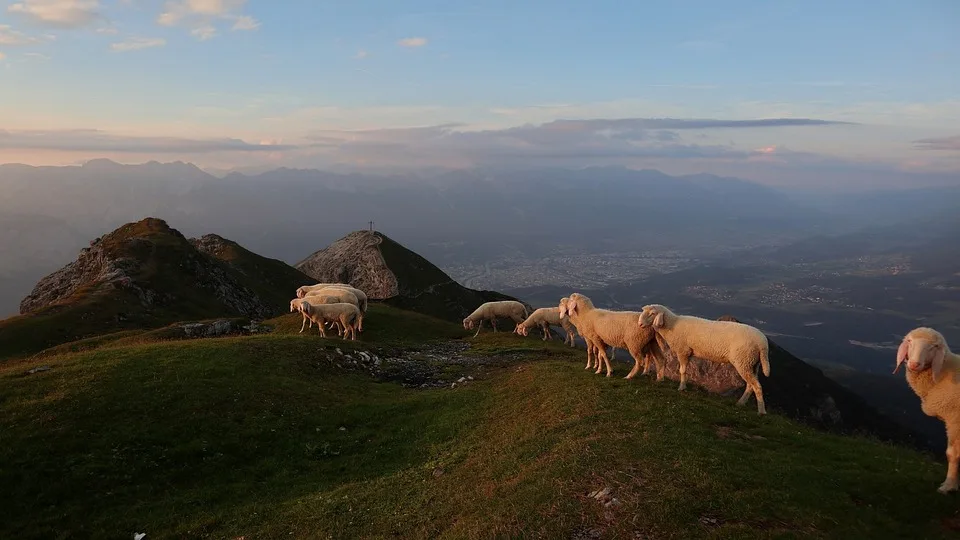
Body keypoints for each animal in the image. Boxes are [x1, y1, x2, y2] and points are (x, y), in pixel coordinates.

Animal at [636, 304, 772, 414]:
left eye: (652, 313)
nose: (640, 324)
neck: (672, 324)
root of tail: (763, 344)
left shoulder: (682, 350)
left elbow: (682, 370)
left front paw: (681, 388)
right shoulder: (688, 352)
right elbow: (685, 370)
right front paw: (683, 386)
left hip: (743, 361)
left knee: (757, 386)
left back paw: (761, 411)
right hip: (752, 363)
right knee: (750, 385)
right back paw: (740, 403)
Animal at [892, 324, 960, 494]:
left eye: (933, 347)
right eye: (909, 341)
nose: (914, 364)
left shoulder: (955, 420)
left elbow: (953, 453)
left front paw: (948, 486)